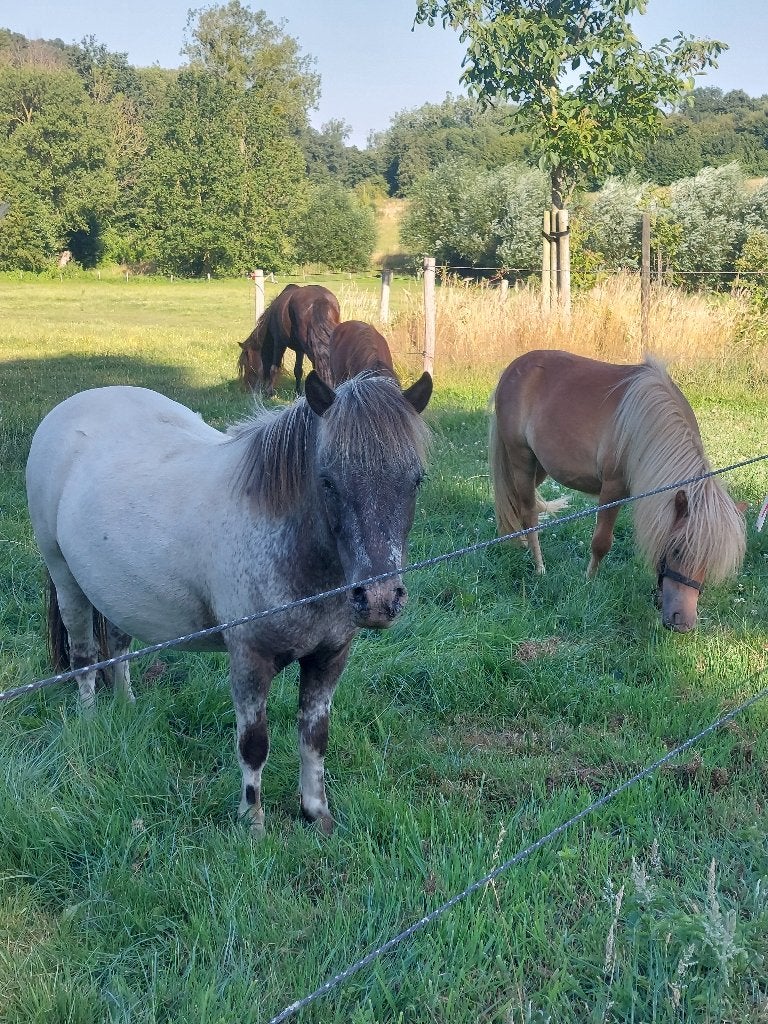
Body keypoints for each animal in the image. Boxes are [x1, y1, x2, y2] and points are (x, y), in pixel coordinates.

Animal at [26, 370, 433, 835]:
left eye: (415, 480)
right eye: (328, 480)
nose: (380, 599)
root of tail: (67, 408)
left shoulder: (329, 657)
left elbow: (315, 737)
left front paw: (317, 813)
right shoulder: (249, 658)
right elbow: (253, 744)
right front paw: (252, 823)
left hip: (116, 589)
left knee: (119, 645)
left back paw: (126, 709)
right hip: (65, 578)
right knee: (85, 657)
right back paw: (91, 723)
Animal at [489, 350, 746, 632]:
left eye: (709, 562)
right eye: (677, 550)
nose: (682, 623)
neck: (643, 426)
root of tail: (513, 368)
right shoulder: (612, 490)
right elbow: (601, 543)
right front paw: (589, 582)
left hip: (539, 466)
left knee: (514, 502)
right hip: (521, 459)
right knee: (528, 513)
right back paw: (539, 568)